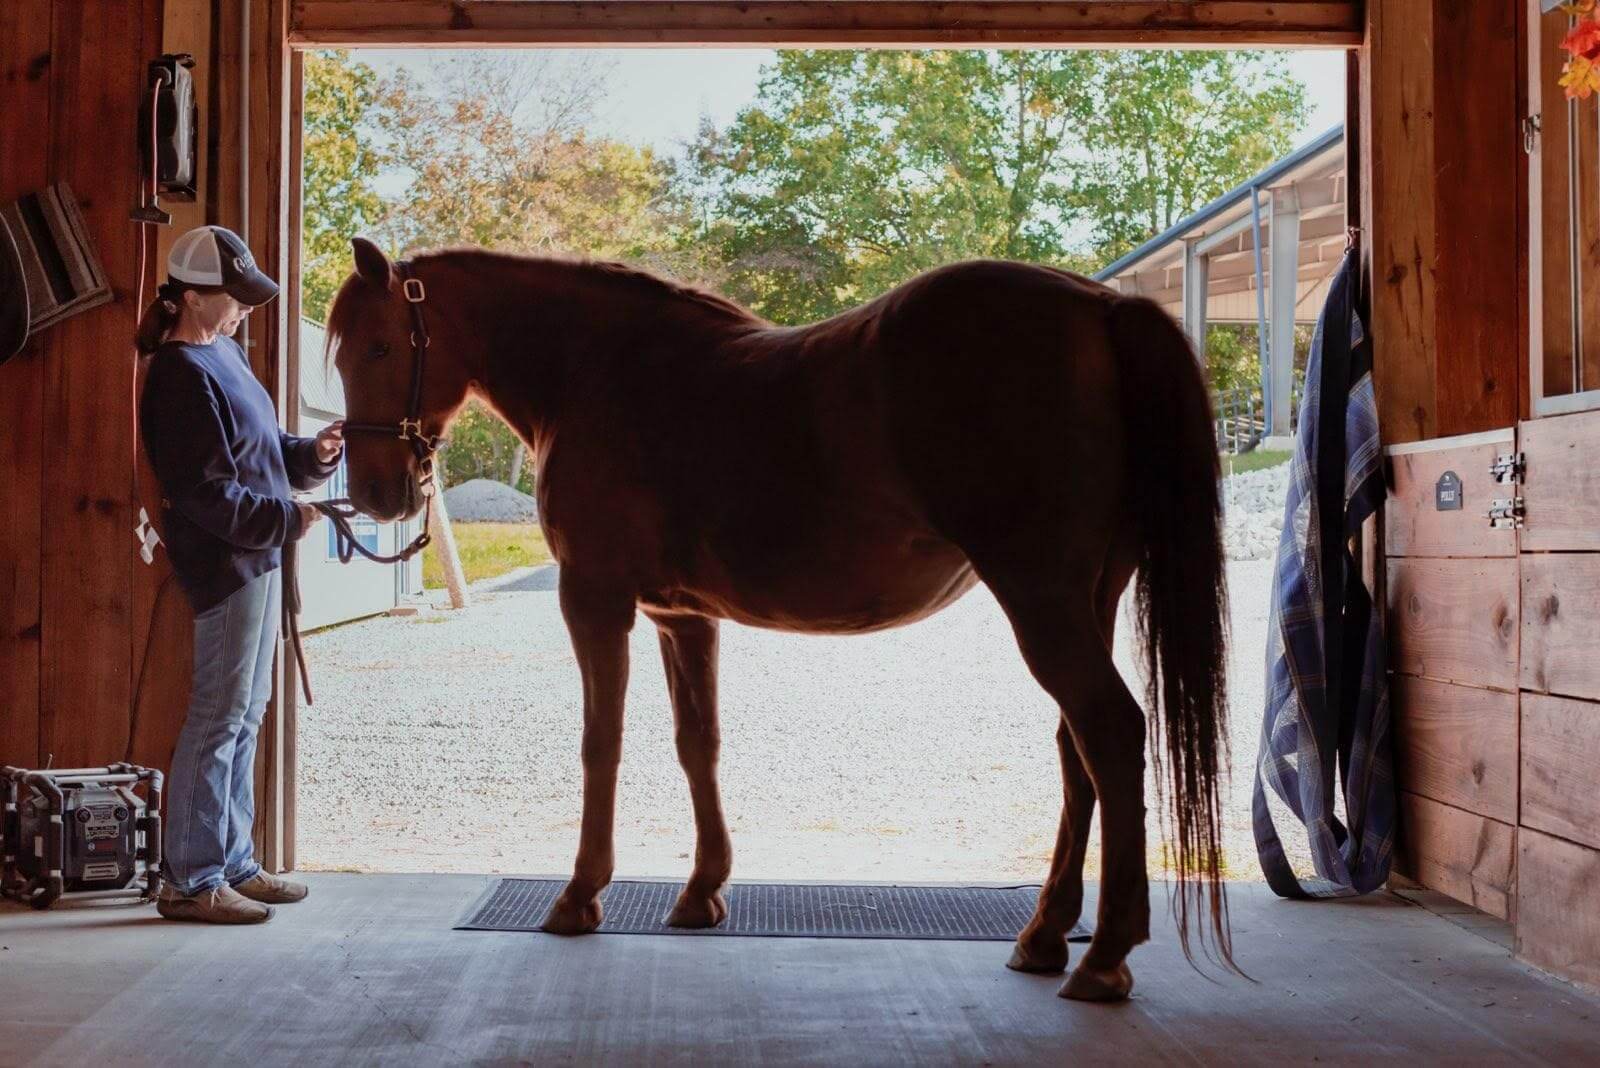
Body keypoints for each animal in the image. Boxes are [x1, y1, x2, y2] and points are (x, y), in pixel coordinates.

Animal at [324, 236, 1232, 1001]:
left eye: (379, 347)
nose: (374, 492)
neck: (598, 371)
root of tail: (1101, 307)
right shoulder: (681, 618)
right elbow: (699, 743)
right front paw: (701, 891)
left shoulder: (594, 600)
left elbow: (599, 745)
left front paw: (580, 896)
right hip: (1088, 597)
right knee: (1078, 748)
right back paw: (1045, 936)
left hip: (1040, 595)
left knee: (1109, 732)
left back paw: (1104, 956)